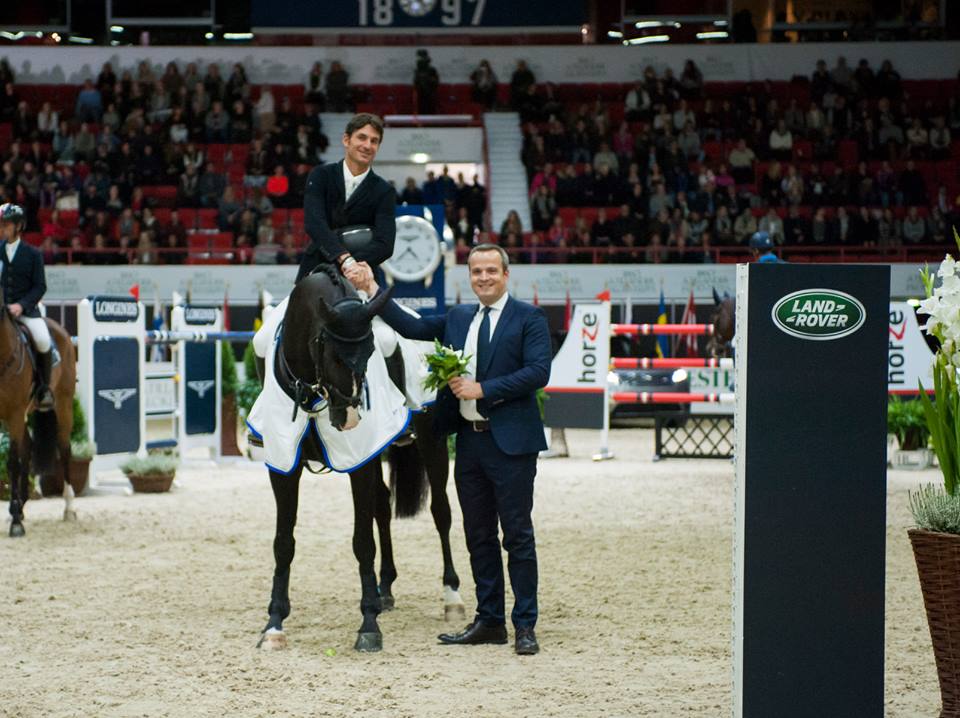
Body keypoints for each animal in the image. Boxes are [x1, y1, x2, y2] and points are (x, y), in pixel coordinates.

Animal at [1, 296, 77, 536]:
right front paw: (16, 514)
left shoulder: (15, 413)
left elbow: (12, 463)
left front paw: (16, 524)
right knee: (28, 447)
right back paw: (19, 507)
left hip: (63, 405)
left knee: (64, 449)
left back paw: (69, 508)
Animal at [256, 268, 464, 652]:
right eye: (334, 355)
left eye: (369, 353)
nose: (350, 419)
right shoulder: (283, 463)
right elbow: (283, 543)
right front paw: (274, 623)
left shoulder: (360, 461)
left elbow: (362, 541)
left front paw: (368, 625)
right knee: (382, 505)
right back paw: (385, 589)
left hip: (430, 441)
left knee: (440, 512)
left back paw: (451, 598)